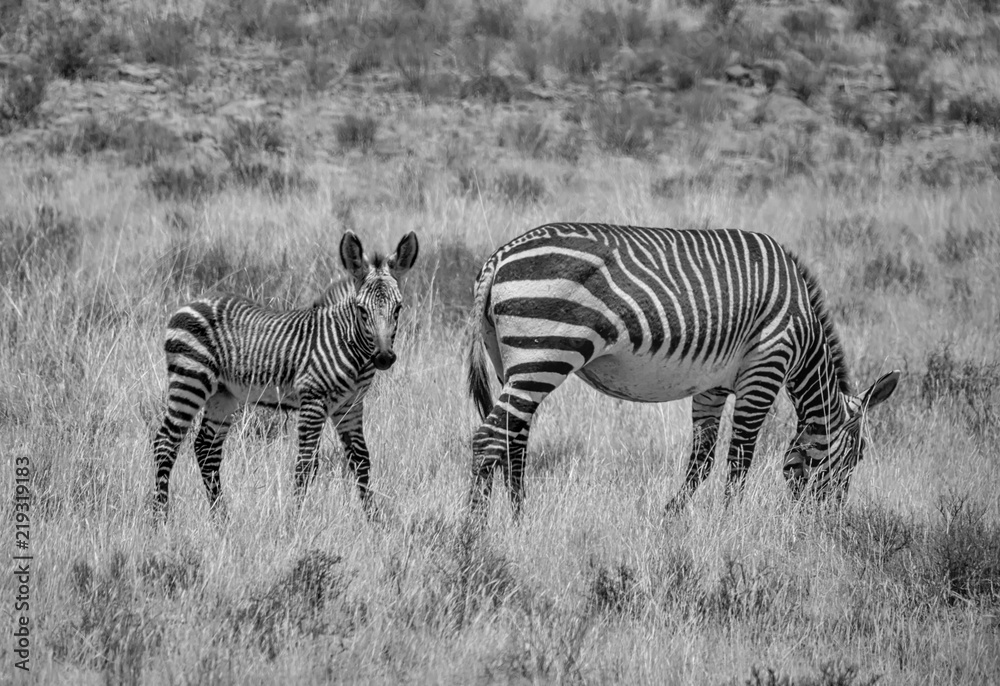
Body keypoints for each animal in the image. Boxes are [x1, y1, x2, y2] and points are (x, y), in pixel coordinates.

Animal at [152, 230, 419, 520]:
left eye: (398, 309)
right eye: (362, 310)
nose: (383, 358)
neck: (348, 344)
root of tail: (189, 303)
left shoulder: (350, 405)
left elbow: (360, 460)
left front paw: (374, 520)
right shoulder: (313, 400)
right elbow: (305, 465)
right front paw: (295, 520)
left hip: (222, 395)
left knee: (206, 448)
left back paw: (221, 518)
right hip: (190, 381)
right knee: (165, 443)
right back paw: (160, 518)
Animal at [466, 223, 899, 517]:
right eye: (859, 455)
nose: (829, 520)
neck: (804, 330)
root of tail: (499, 257)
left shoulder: (713, 385)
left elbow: (701, 459)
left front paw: (672, 515)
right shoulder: (766, 368)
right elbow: (740, 457)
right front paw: (730, 522)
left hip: (513, 363)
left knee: (513, 441)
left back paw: (520, 521)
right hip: (544, 355)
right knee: (488, 439)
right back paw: (475, 532)